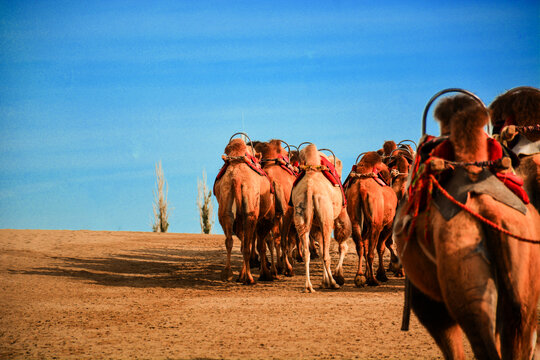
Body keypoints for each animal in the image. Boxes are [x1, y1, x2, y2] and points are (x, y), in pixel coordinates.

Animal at [214, 137, 276, 284]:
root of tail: (236, 178)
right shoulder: (265, 218)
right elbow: (261, 244)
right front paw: (266, 274)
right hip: (251, 209)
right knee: (248, 244)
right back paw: (249, 278)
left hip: (225, 204)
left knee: (230, 240)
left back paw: (228, 274)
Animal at [292, 143, 350, 292]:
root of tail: (310, 189)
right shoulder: (341, 214)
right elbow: (342, 245)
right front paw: (337, 277)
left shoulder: (315, 226)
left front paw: (325, 281)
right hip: (326, 216)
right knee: (326, 254)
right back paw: (334, 283)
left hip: (301, 214)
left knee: (307, 252)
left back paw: (308, 286)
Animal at [346, 150, 396, 286]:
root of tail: (362, 189)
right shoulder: (388, 225)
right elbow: (381, 248)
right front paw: (381, 274)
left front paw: (367, 275)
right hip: (376, 224)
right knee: (371, 252)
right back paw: (374, 280)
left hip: (355, 221)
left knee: (361, 247)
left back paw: (359, 276)